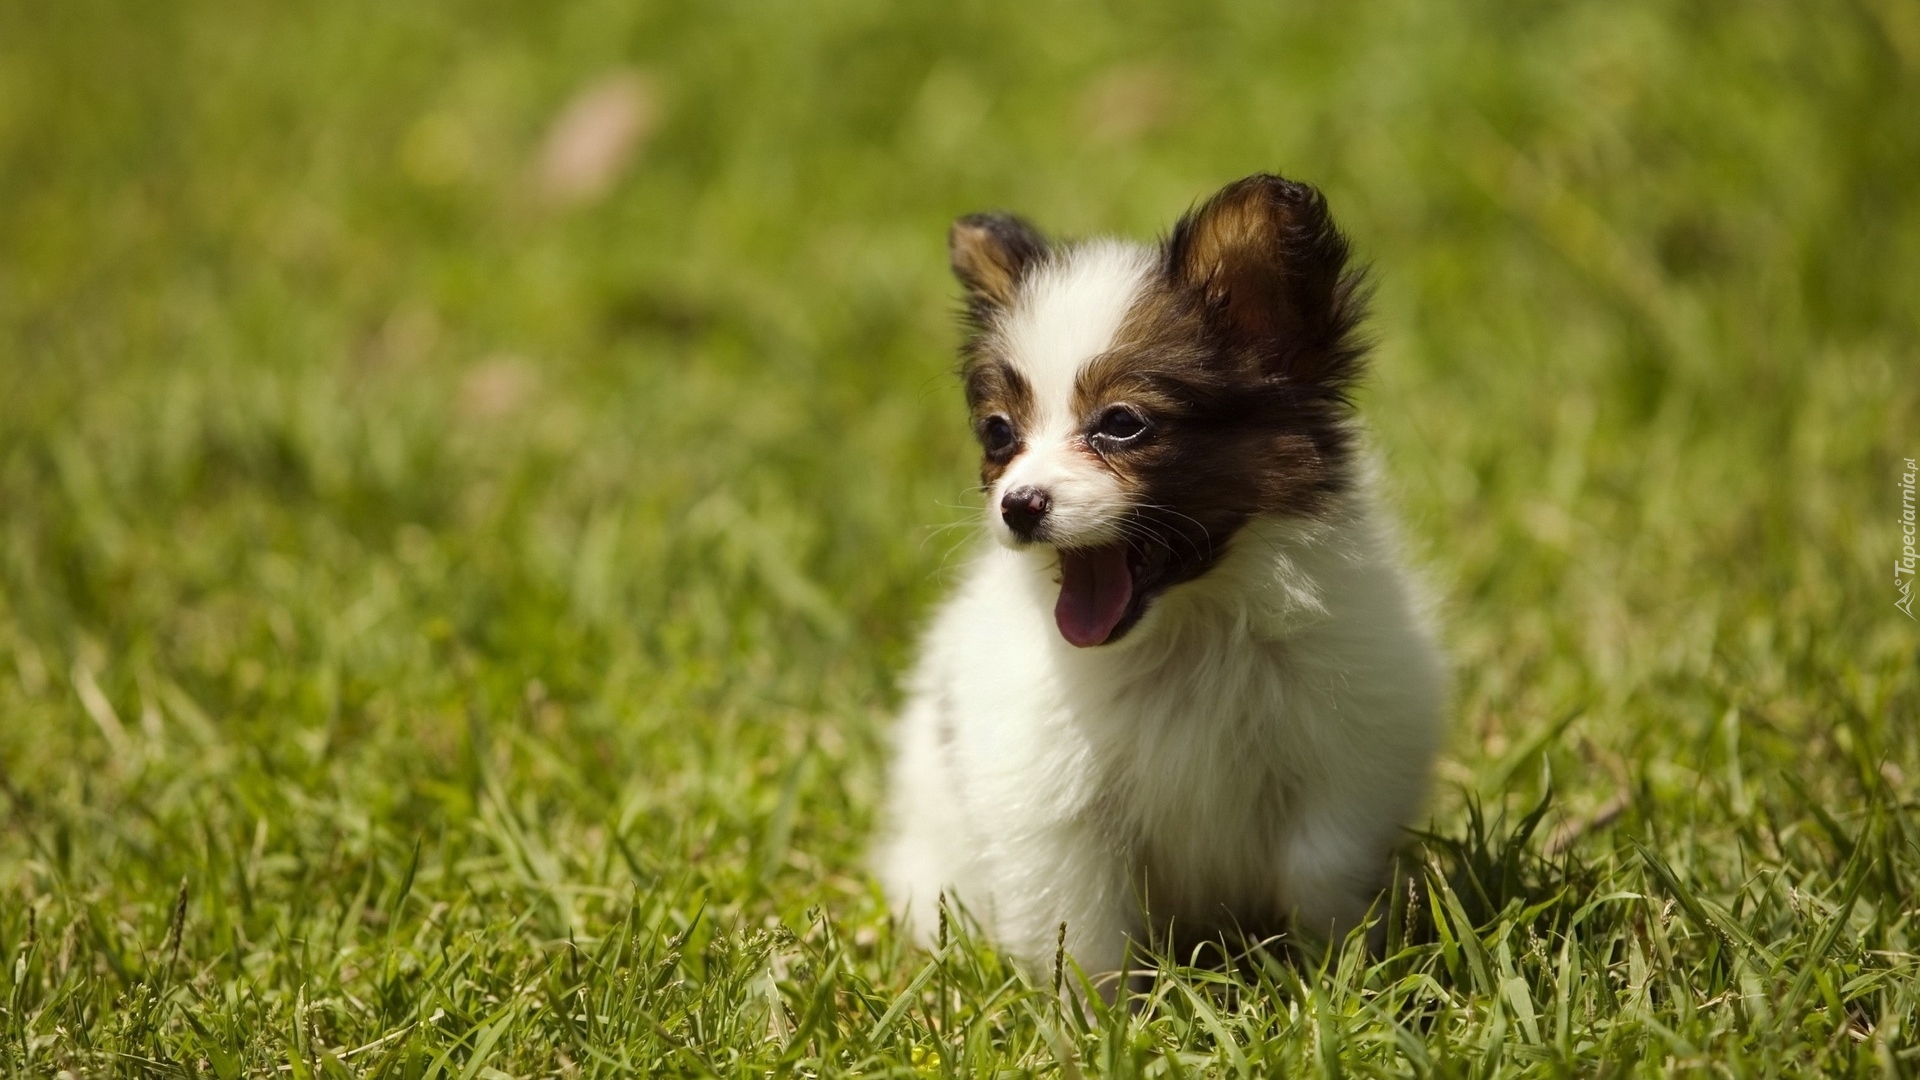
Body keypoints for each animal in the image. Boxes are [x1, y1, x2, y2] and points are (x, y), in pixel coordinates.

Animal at [879, 171, 1443, 980]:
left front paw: (1334, 976)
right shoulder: (1055, 812)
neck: (1185, 633)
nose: (1019, 505)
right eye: (999, 433)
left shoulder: (1344, 762)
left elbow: (1321, 873)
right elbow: (1083, 934)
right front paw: (1097, 1012)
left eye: (1122, 424)